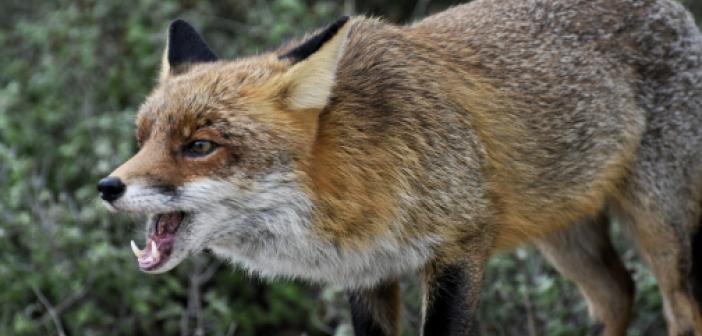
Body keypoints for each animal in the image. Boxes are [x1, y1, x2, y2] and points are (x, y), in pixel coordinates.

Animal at [97, 0, 702, 334]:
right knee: (618, 293)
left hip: (659, 226)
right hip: (563, 234)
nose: (107, 186)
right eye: (143, 138)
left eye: (199, 146)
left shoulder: (461, 244)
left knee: (681, 311)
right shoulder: (365, 273)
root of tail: (672, 9)